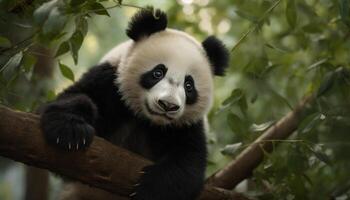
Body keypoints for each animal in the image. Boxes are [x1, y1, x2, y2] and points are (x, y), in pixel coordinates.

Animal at [40, 7, 230, 200]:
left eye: (189, 85)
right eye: (158, 73)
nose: (167, 105)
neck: (146, 118)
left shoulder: (187, 124)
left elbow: (188, 162)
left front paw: (150, 189)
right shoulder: (110, 81)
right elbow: (77, 97)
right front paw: (71, 132)